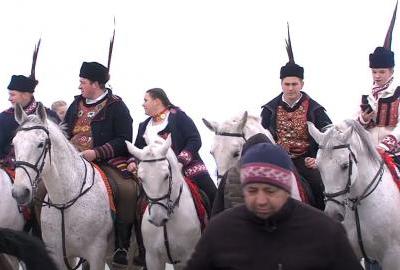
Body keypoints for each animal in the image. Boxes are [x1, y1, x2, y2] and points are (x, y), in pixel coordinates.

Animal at [10, 103, 113, 270]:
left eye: (41, 144)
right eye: (14, 144)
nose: (20, 193)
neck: (66, 200)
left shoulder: (96, 255)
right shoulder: (60, 256)